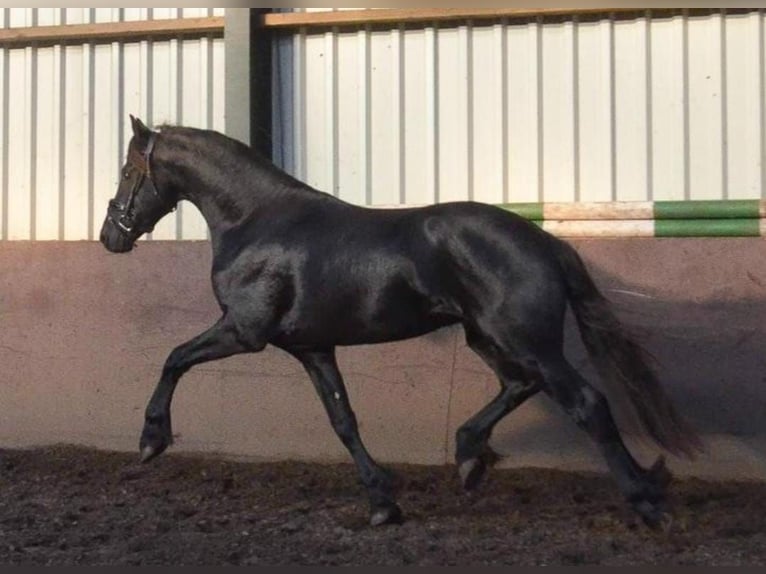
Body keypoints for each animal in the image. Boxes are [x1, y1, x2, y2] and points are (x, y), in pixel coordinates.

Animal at [100, 117, 704, 532]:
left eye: (129, 171)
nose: (112, 236)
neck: (257, 221)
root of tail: (544, 241)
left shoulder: (244, 333)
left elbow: (173, 358)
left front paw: (151, 440)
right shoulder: (314, 348)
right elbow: (344, 421)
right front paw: (383, 504)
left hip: (525, 340)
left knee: (586, 403)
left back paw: (646, 501)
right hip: (488, 337)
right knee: (520, 385)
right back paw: (470, 457)